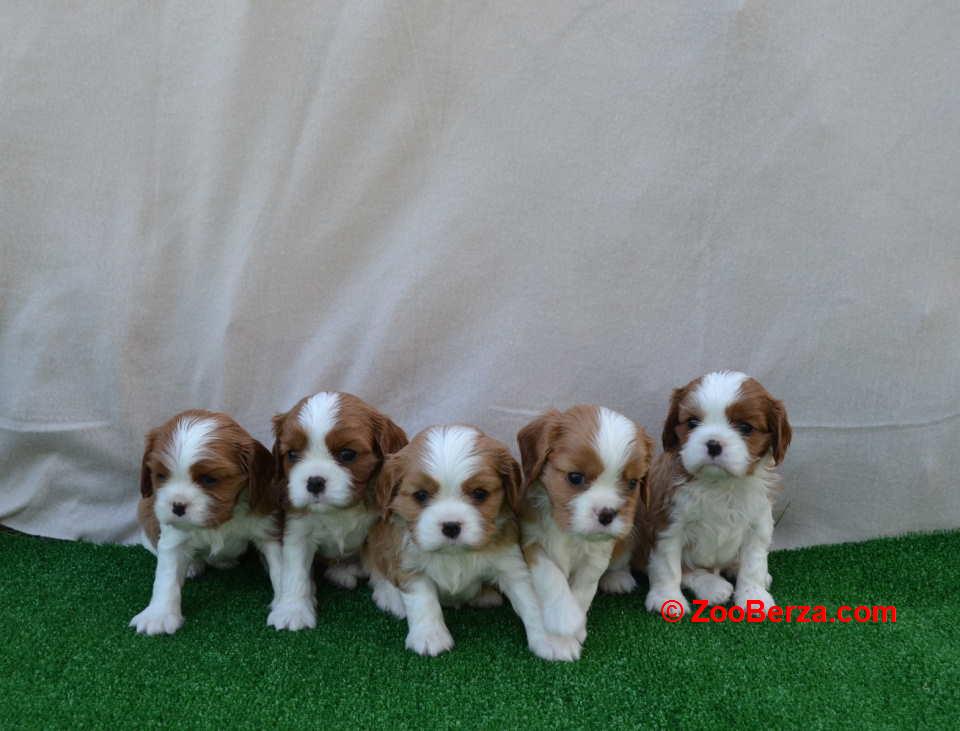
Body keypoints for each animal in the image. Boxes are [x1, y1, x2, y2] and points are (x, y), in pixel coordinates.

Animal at [128, 412, 278, 636]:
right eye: (161, 476)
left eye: (209, 479)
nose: (177, 506)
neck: (221, 519)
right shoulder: (173, 539)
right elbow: (166, 577)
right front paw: (158, 615)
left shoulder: (266, 526)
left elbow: (282, 569)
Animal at [266, 392, 408, 632]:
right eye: (292, 455)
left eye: (347, 454)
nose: (314, 482)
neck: (340, 509)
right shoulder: (298, 532)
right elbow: (295, 572)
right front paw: (293, 609)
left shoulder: (378, 527)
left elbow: (381, 559)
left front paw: (391, 593)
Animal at [366, 424, 576, 664]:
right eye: (420, 495)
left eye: (479, 493)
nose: (450, 526)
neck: (454, 554)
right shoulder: (409, 565)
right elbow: (423, 602)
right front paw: (430, 636)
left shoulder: (511, 566)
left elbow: (531, 600)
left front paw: (553, 640)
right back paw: (390, 597)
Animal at [516, 408, 652, 644]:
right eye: (575, 477)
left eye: (633, 483)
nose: (607, 514)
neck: (568, 531)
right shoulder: (532, 540)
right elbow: (550, 574)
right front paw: (565, 617)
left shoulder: (597, 556)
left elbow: (584, 587)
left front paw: (576, 625)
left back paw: (618, 578)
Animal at [640, 372, 792, 616]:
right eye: (692, 423)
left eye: (745, 428)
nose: (713, 444)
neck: (719, 484)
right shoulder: (667, 524)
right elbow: (668, 566)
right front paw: (667, 599)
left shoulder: (758, 523)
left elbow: (754, 565)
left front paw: (753, 596)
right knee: (689, 570)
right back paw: (712, 587)